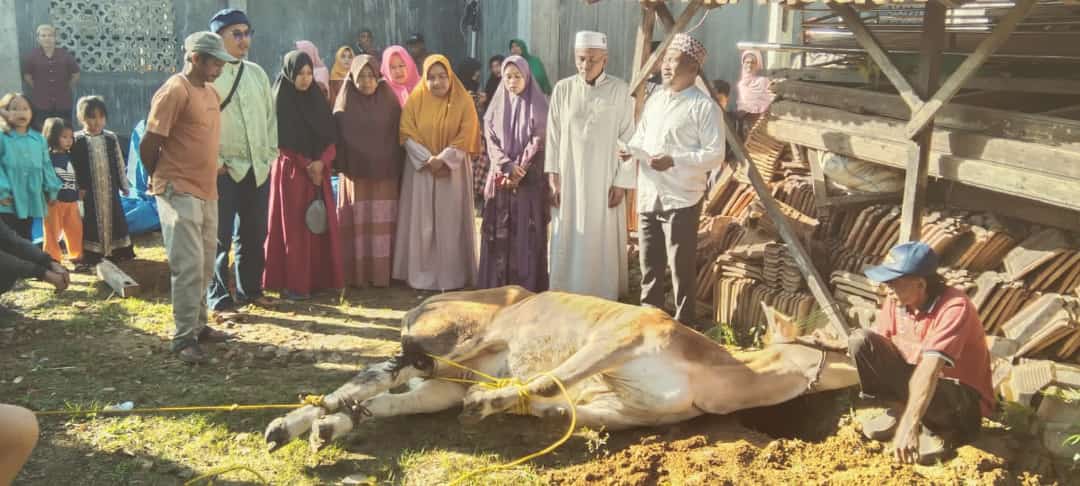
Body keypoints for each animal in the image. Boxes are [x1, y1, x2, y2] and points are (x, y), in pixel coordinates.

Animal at [265, 285, 855, 451]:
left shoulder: (630, 410)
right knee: (379, 374)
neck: (714, 376)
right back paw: (290, 425)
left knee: (392, 397)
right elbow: (552, 378)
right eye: (838, 339)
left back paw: (323, 427)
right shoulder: (621, 335)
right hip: (456, 340)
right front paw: (490, 404)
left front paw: (514, 408)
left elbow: (558, 406)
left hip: (445, 381)